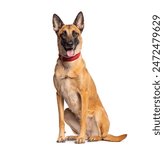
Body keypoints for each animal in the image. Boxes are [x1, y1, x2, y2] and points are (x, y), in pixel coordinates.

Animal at [52, 11, 127, 144]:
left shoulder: (83, 94)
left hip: (98, 112)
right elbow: (60, 120)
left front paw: (80, 138)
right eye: (63, 34)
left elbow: (83, 119)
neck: (68, 65)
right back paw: (75, 136)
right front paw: (61, 137)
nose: (70, 44)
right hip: (67, 112)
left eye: (75, 33)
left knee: (102, 136)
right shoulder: (59, 94)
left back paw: (92, 137)